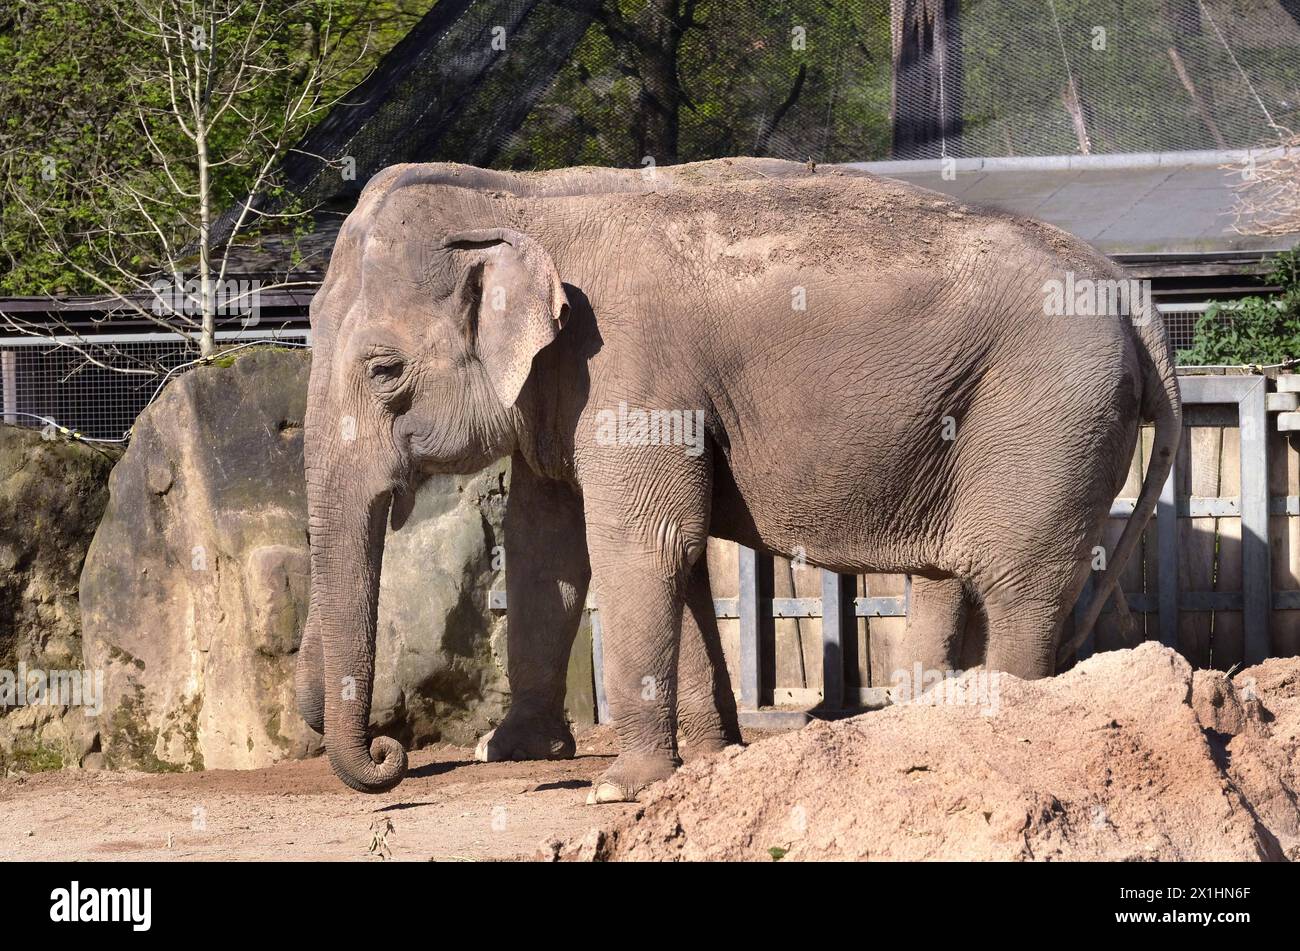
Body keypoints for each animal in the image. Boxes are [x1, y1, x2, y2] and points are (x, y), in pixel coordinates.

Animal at [292, 155, 1180, 795]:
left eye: (383, 370)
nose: (387, 753)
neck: (524, 196)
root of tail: (1130, 292)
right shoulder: (571, 390)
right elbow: (561, 548)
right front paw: (524, 752)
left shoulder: (628, 367)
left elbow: (638, 542)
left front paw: (619, 788)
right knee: (948, 579)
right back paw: (919, 730)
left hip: (1046, 416)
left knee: (1018, 586)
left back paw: (1002, 733)